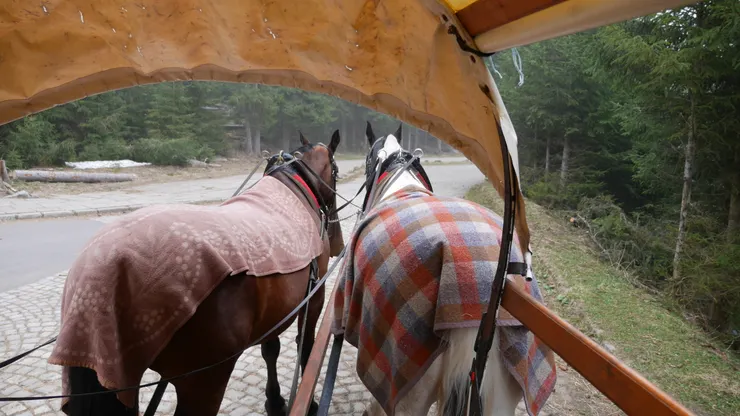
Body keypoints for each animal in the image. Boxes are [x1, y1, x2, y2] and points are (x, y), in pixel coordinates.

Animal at [49, 130, 344, 416]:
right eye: (337, 170)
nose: (334, 230)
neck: (294, 189)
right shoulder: (314, 297)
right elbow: (305, 346)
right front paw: (308, 401)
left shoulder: (276, 307)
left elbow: (270, 350)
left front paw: (274, 402)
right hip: (205, 381)